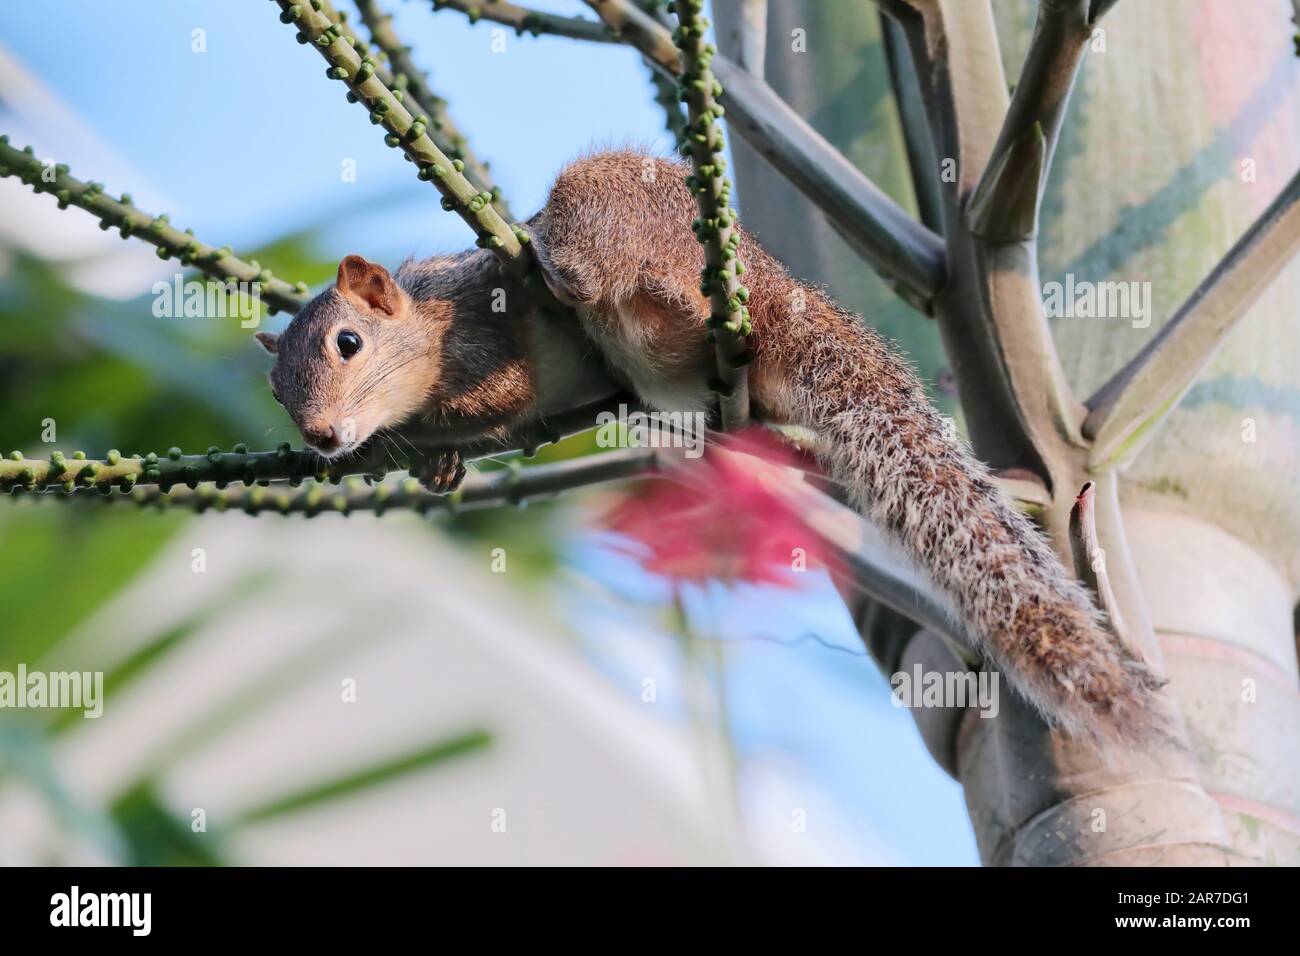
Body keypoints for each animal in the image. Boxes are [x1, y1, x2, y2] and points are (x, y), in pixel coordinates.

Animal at [253, 149, 1170, 749]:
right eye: (276, 391)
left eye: (346, 344)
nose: (322, 437)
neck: (427, 327)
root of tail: (776, 292)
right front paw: (434, 464)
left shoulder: (485, 337)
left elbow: (501, 398)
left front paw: (425, 438)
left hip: (618, 207)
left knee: (610, 271)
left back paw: (553, 256)